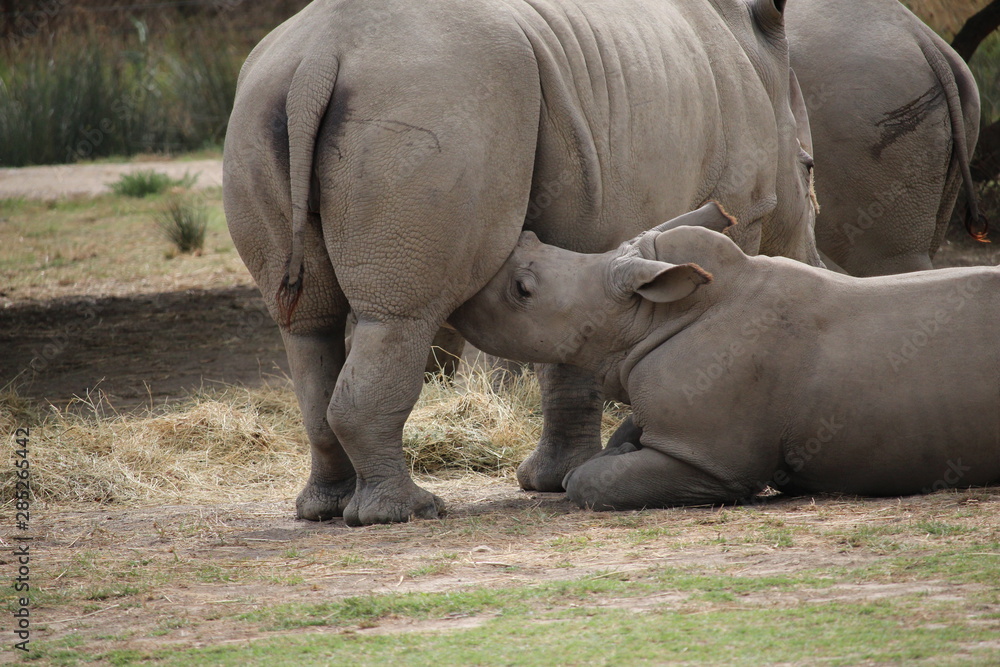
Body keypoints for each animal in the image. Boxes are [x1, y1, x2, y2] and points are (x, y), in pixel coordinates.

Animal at [224, 0, 820, 524]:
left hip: (260, 106)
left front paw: (546, 483)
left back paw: (325, 510)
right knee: (400, 317)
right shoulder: (739, 203)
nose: (817, 263)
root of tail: (319, 58)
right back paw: (407, 513)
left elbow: (566, 348)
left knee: (307, 325)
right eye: (810, 167)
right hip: (435, 99)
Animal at [453, 203, 1000, 509]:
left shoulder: (712, 460)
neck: (650, 316)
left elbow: (588, 481)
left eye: (523, 291)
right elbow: (621, 439)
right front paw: (622, 448)